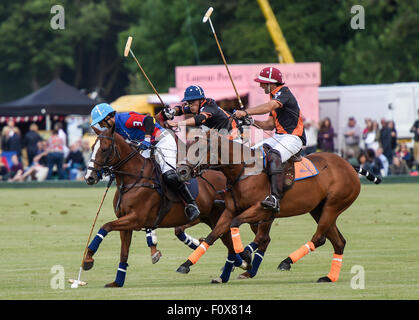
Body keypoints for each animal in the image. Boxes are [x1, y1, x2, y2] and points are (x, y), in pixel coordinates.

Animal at [82, 125, 248, 288]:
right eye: (92, 147)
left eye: (104, 149)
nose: (89, 177)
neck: (133, 179)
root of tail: (226, 176)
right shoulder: (125, 221)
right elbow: (123, 251)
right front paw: (117, 281)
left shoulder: (136, 219)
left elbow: (105, 226)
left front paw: (88, 259)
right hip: (212, 218)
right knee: (228, 244)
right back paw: (235, 269)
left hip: (218, 216)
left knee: (227, 242)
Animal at [176, 134, 382, 284]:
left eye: (200, 150)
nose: (181, 172)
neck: (243, 170)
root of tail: (349, 165)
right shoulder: (230, 210)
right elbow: (213, 236)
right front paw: (187, 265)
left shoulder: (262, 209)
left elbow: (240, 227)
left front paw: (244, 256)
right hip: (319, 209)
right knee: (338, 242)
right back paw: (329, 277)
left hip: (333, 205)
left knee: (318, 237)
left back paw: (285, 262)